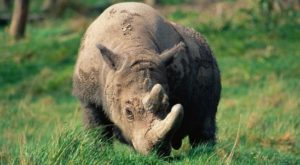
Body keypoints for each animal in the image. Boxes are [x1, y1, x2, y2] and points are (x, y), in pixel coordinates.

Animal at [73, 1, 220, 155]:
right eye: (128, 112)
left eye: (167, 106)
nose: (157, 151)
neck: (134, 48)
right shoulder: (88, 97)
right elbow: (97, 129)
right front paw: (100, 152)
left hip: (210, 63)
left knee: (206, 121)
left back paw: (204, 152)